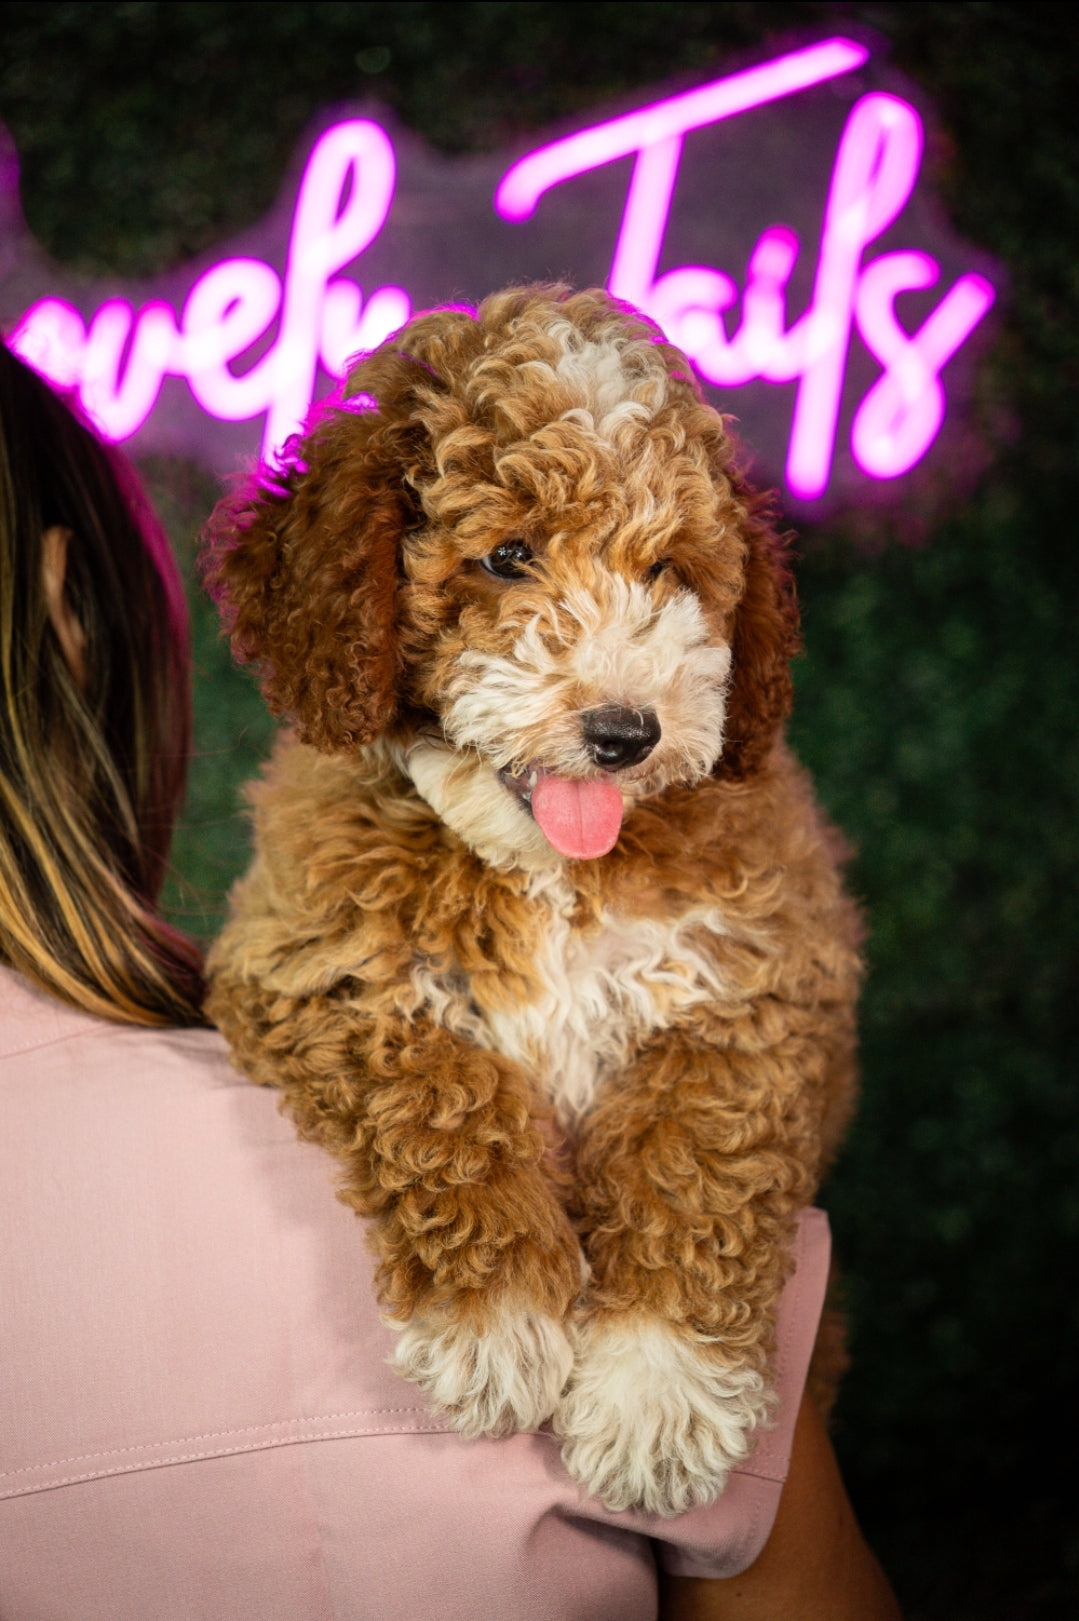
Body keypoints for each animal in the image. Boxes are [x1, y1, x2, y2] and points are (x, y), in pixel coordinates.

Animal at [199, 285, 855, 1510]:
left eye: (669, 571)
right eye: (505, 555)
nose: (624, 731)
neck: (546, 875)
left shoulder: (752, 988)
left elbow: (698, 1155)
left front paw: (658, 1395)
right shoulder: (317, 962)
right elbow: (442, 1093)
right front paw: (497, 1321)